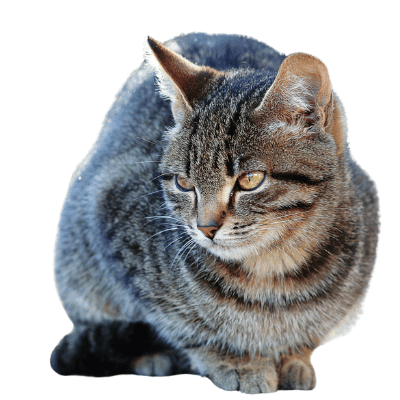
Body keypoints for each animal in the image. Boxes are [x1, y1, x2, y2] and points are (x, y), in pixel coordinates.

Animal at [50, 32, 378, 394]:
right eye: (183, 183)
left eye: (250, 180)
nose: (205, 227)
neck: (272, 270)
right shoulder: (108, 210)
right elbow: (186, 327)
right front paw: (238, 361)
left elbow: (311, 329)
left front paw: (295, 357)